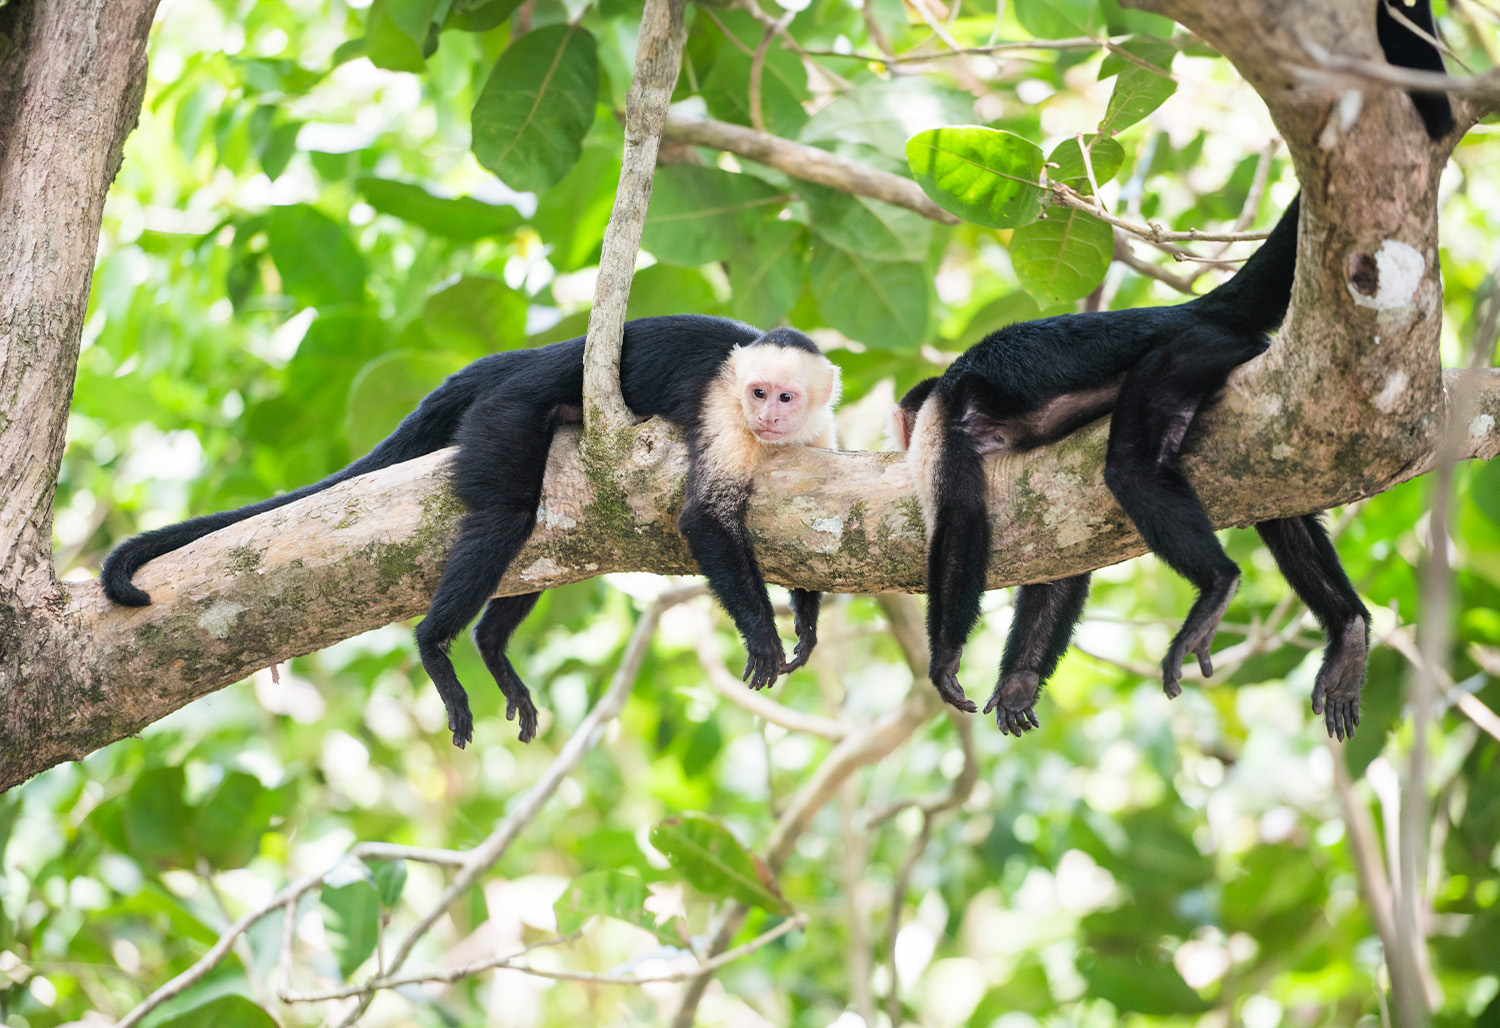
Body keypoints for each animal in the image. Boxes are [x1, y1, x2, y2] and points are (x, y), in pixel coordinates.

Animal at [99, 312, 840, 744]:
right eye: (756, 393)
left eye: (786, 396)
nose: (768, 416)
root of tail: (528, 358)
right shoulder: (722, 413)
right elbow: (704, 519)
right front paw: (764, 637)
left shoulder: (820, 434)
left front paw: (806, 619)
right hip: (504, 414)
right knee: (508, 517)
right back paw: (436, 646)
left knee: (548, 545)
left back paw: (490, 648)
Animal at [888, 0, 1452, 738]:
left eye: (903, 426)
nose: (893, 436)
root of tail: (1192, 308)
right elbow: (1062, 571)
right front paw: (1019, 679)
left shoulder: (942, 412)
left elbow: (959, 527)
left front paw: (946, 658)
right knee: (1279, 507)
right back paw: (1349, 630)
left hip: (1190, 351)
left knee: (1130, 465)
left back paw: (1217, 587)